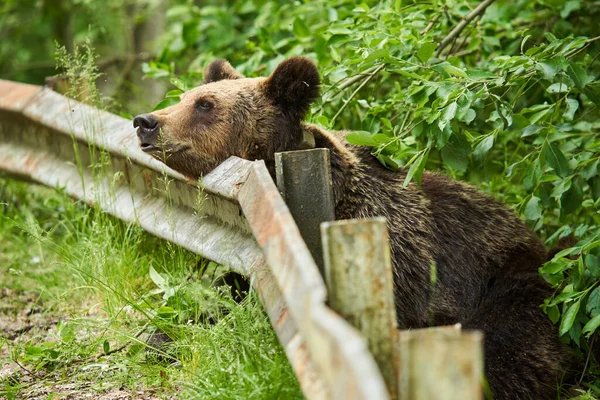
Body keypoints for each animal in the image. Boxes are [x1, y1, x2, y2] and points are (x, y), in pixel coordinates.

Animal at [134, 57, 576, 400]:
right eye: (185, 97)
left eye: (205, 104)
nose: (145, 121)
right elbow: (215, 296)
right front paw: (157, 336)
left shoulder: (398, 261)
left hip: (513, 281)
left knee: (510, 346)